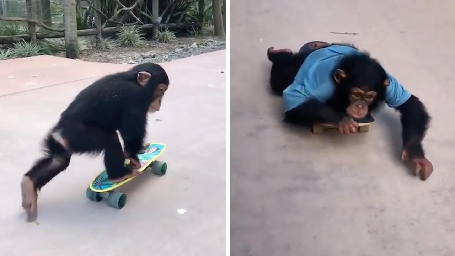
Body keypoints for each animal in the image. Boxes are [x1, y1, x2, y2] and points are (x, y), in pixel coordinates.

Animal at [21, 62, 169, 222]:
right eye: (161, 90)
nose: (160, 101)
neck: (134, 81)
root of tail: (59, 132)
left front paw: (142, 150)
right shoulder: (135, 99)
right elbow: (131, 131)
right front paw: (133, 157)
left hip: (63, 144)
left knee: (58, 160)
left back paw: (28, 185)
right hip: (81, 137)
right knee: (111, 141)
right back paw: (119, 176)